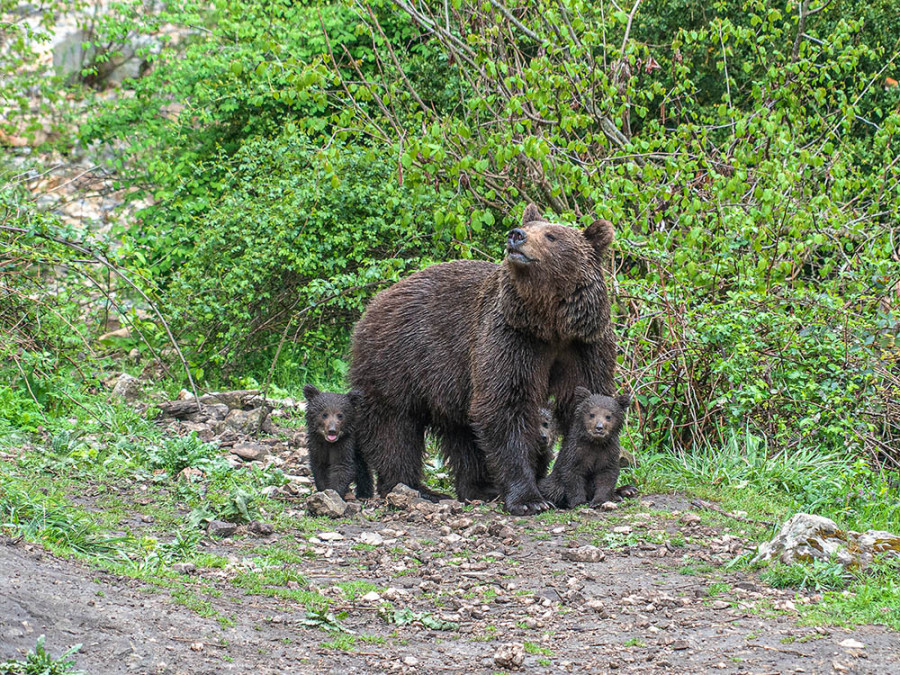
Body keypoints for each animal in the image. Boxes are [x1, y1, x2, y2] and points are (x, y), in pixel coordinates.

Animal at [348, 203, 616, 516]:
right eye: (529, 227)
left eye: (551, 235)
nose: (516, 235)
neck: (549, 323)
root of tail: (375, 301)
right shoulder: (511, 340)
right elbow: (504, 406)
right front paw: (529, 499)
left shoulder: (585, 347)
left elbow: (586, 401)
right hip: (397, 360)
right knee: (394, 427)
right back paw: (415, 489)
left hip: (448, 383)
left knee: (462, 433)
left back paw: (479, 488)